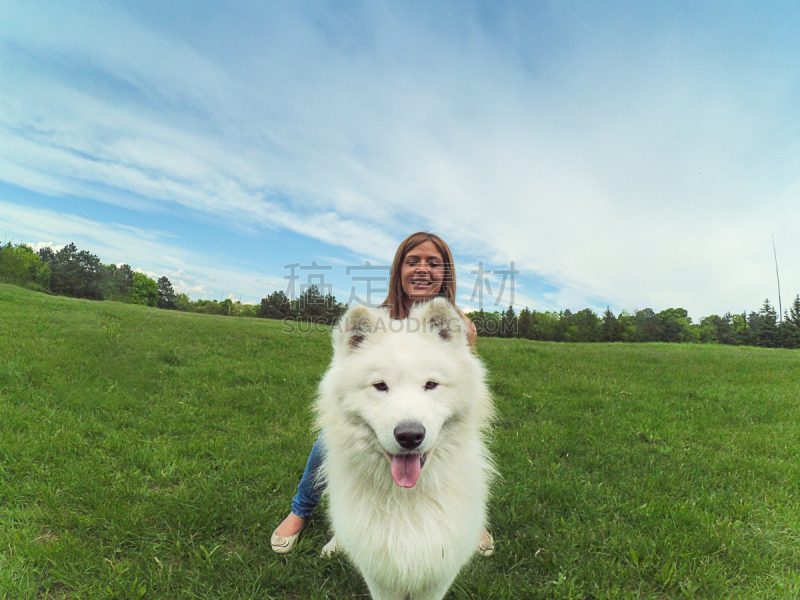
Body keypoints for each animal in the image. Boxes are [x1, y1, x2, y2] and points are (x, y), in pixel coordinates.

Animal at [314, 298, 494, 600]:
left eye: (431, 384)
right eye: (380, 386)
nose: (410, 436)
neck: (406, 500)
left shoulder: (440, 572)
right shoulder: (378, 573)